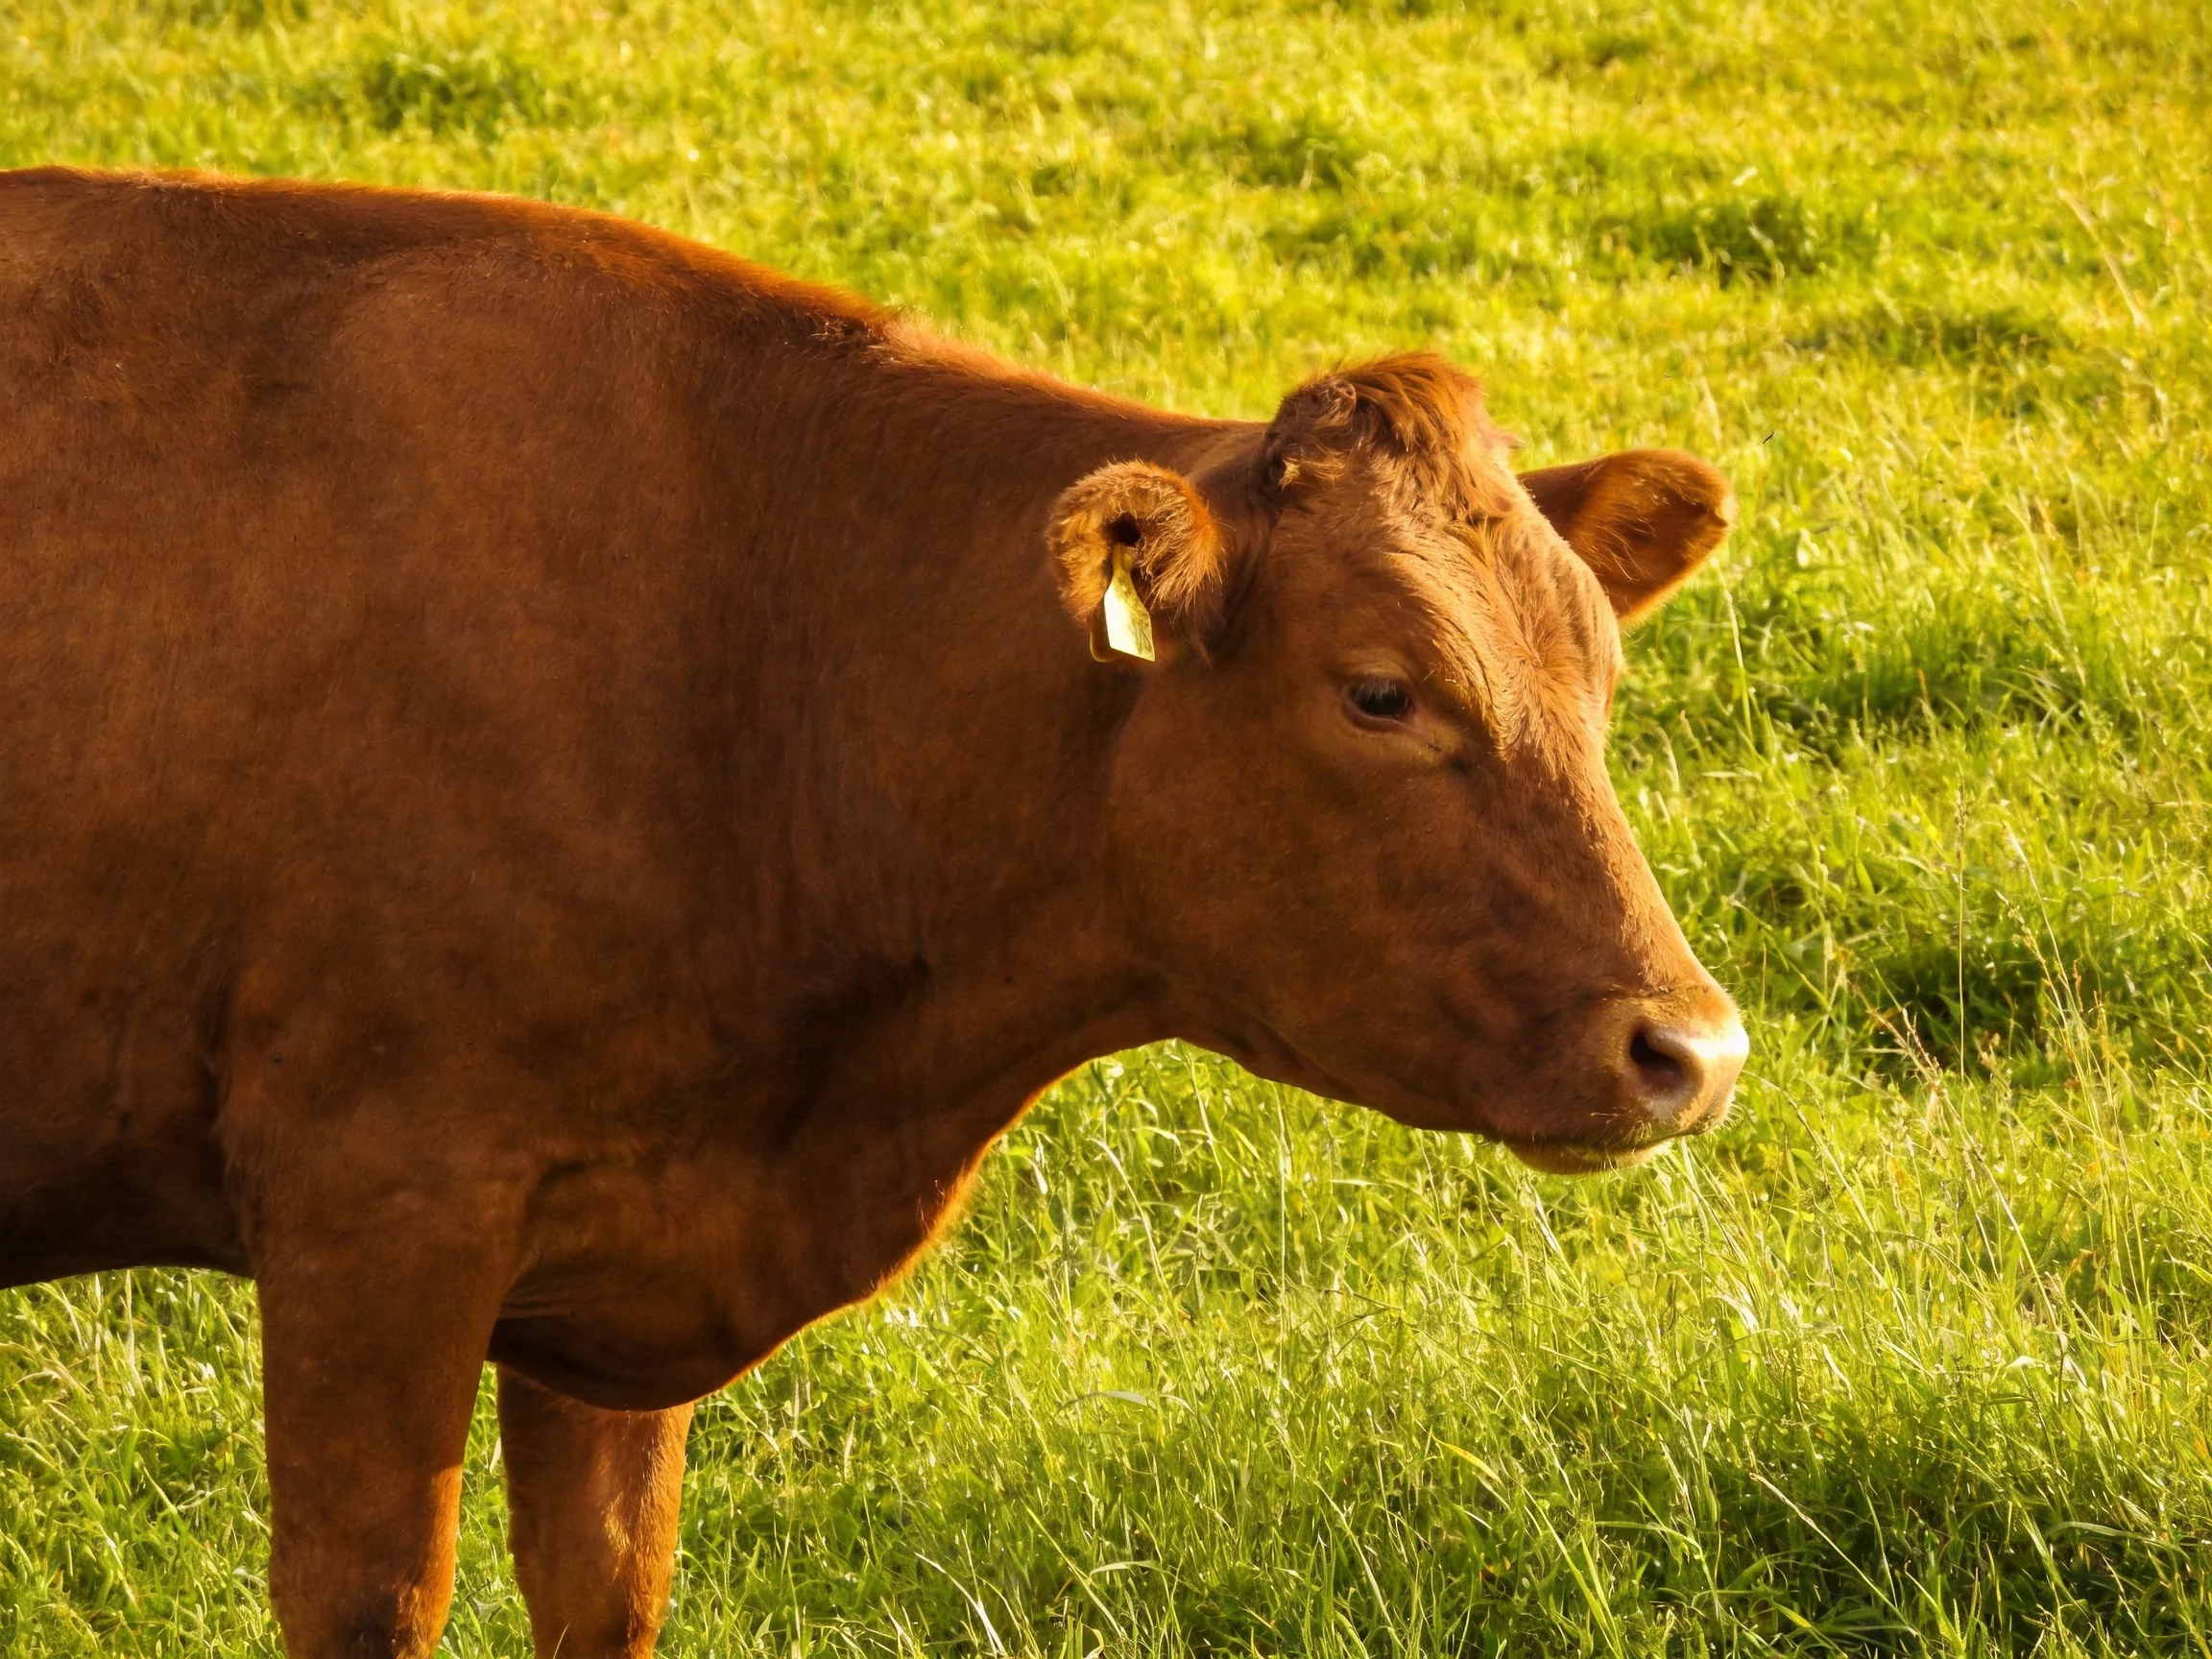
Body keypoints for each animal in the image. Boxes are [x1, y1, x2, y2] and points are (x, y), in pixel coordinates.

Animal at [0, 166, 1746, 1657]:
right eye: (1381, 690)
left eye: (1602, 672)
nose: (1694, 1051)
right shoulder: (377, 1203)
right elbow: (369, 1595)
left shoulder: (607, 1263)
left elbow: (605, 1586)